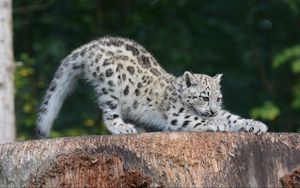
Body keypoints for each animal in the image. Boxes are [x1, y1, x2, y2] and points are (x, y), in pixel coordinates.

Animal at [35, 36, 268, 137]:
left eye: (217, 98)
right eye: (203, 97)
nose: (212, 110)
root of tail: (89, 45)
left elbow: (233, 117)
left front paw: (255, 124)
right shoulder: (176, 116)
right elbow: (197, 119)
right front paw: (217, 123)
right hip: (110, 84)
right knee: (109, 113)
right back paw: (123, 128)